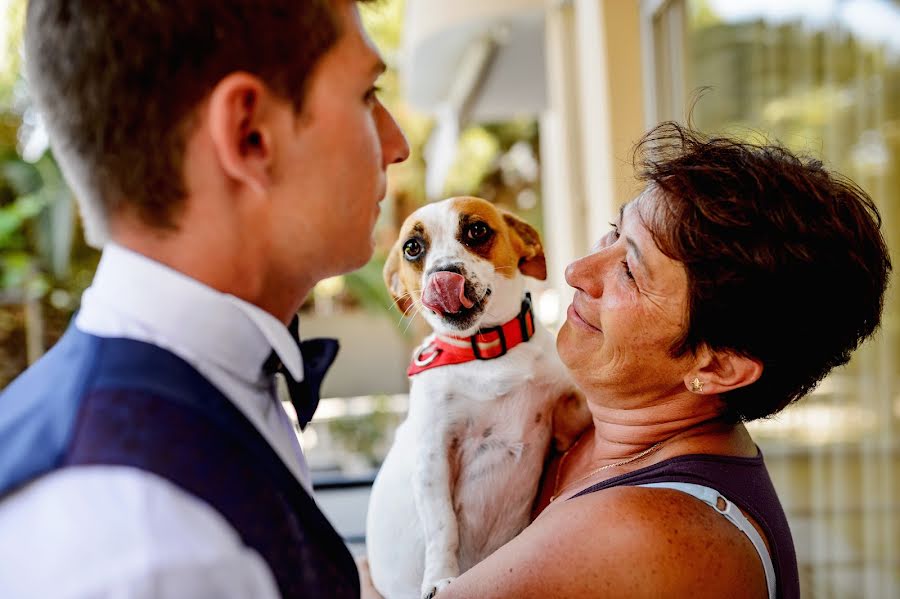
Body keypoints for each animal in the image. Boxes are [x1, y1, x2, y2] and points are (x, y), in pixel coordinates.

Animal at [366, 197, 592, 599]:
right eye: (412, 248)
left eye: (476, 230)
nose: (443, 276)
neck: (488, 352)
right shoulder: (433, 457)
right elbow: (443, 525)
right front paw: (440, 578)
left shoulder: (565, 420)